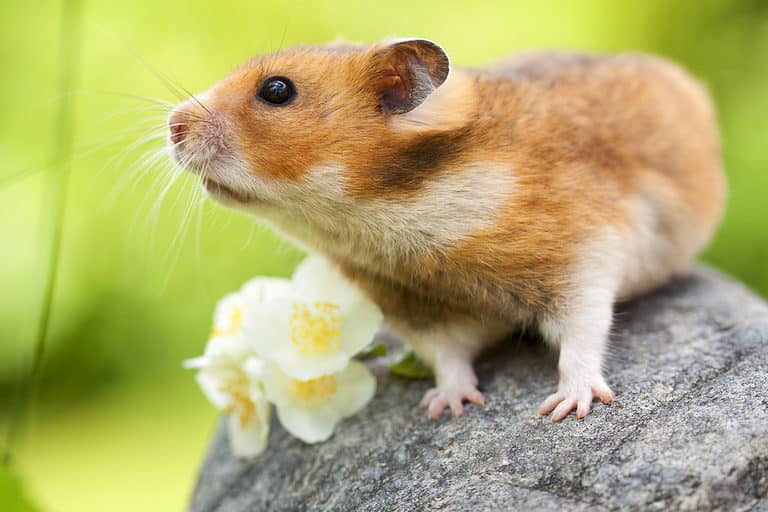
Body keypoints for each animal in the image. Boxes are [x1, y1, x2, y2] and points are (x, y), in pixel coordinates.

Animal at [167, 38, 725, 421]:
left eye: (277, 90)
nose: (172, 126)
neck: (384, 219)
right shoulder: (418, 308)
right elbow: (448, 356)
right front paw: (447, 408)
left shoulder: (584, 255)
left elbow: (582, 334)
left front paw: (568, 407)